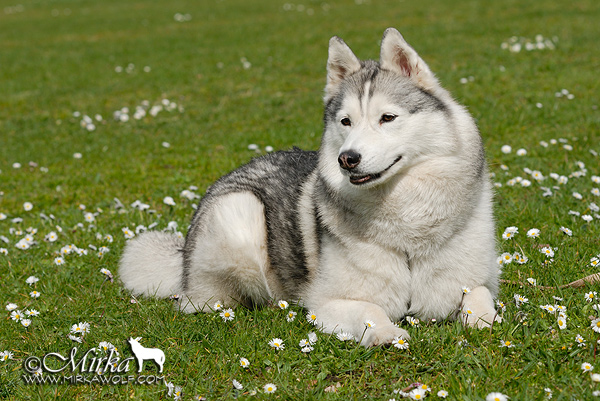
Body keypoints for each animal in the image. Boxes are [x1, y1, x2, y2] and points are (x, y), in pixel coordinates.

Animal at [119, 28, 500, 346]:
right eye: (346, 122)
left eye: (387, 118)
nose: (347, 159)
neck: (407, 224)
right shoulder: (327, 302)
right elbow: (370, 311)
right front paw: (388, 333)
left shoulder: (469, 280)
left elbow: (479, 295)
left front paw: (482, 320)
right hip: (239, 214)